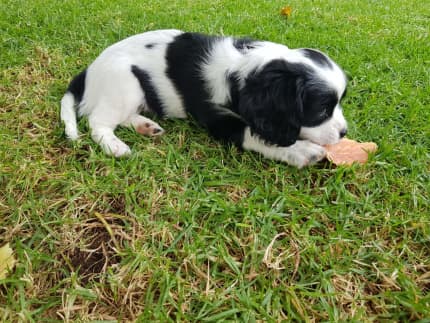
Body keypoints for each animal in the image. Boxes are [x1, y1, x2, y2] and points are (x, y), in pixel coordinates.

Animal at [60, 29, 348, 170]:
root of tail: (87, 72)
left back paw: (146, 126)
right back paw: (115, 146)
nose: (344, 132)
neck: (244, 69)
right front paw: (300, 151)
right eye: (321, 111)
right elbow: (255, 135)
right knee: (97, 122)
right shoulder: (219, 118)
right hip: (124, 83)